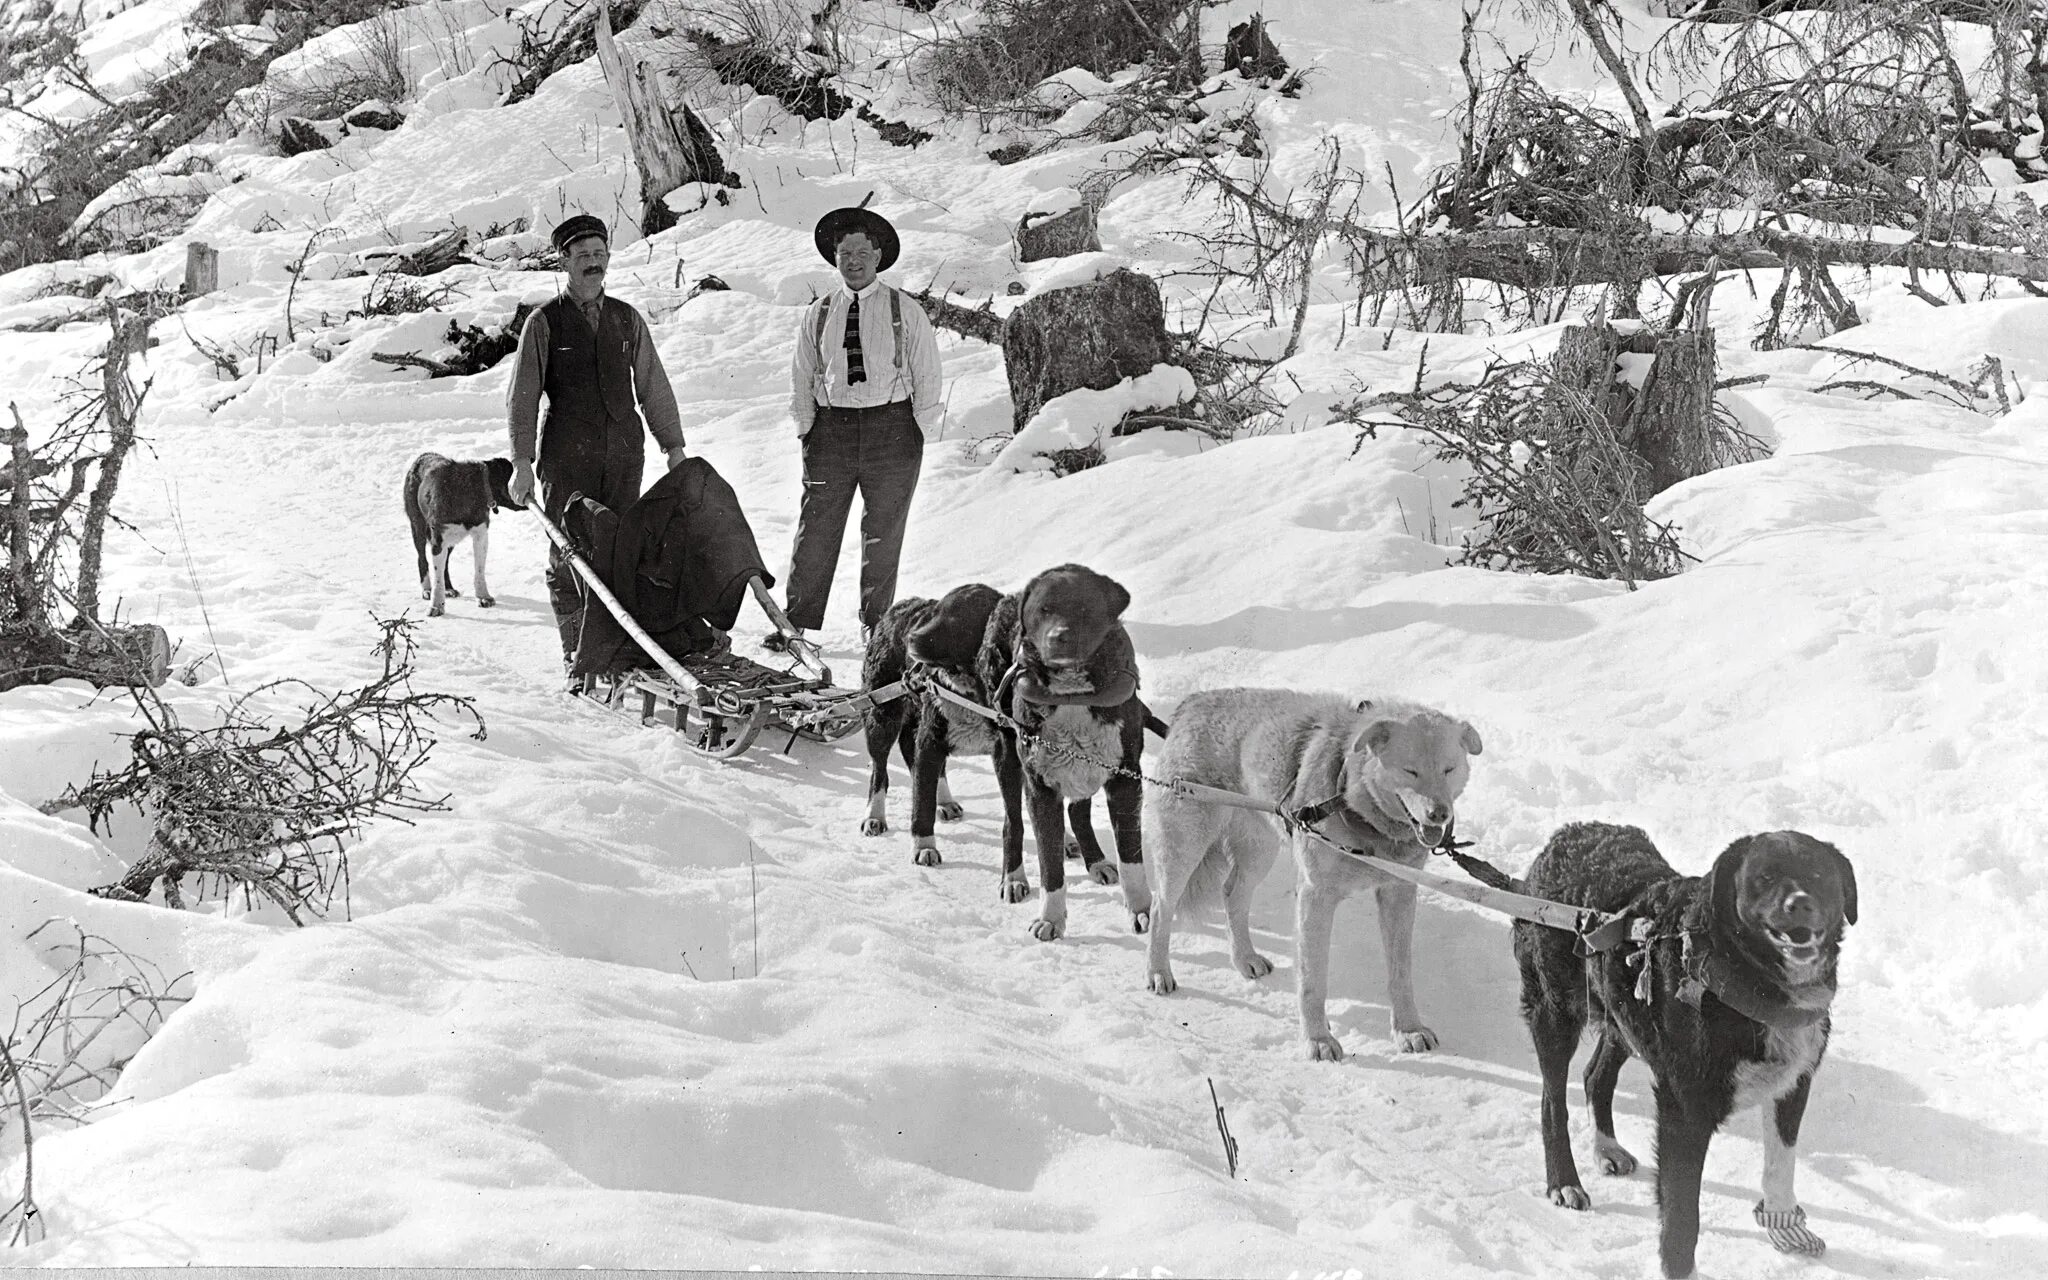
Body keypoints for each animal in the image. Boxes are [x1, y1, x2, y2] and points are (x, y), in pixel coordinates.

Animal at [401, 452, 524, 618]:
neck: (474, 488)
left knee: (445, 563)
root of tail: (422, 456)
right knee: (422, 559)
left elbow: (479, 570)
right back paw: (427, 589)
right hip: (418, 526)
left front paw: (483, 597)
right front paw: (436, 605)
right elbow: (437, 579)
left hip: (451, 540)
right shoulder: (438, 540)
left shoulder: (480, 534)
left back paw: (449, 589)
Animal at [1146, 688, 1482, 1056]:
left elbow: (1400, 973)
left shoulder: (1398, 895)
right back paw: (1158, 971)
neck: (1351, 800)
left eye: (1448, 768)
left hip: (1258, 851)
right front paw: (1318, 1039)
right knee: (1160, 908)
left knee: (1232, 893)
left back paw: (1244, 957)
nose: (1439, 814)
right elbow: (1313, 980)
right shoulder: (1315, 897)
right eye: (1411, 771)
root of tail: (1193, 701)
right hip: (1184, 850)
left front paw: (1408, 1029)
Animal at [1507, 823, 1859, 1269]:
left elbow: (1781, 1166)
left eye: (1818, 874)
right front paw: (1679, 1267)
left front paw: (1784, 1226)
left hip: (1622, 1015)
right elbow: (1681, 1217)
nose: (1800, 904)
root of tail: (1564, 836)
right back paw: (1564, 1182)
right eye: (1764, 877)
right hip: (1554, 1011)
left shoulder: (1794, 1083)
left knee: (1594, 1076)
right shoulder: (1684, 1107)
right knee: (1552, 1103)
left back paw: (1606, 1148)